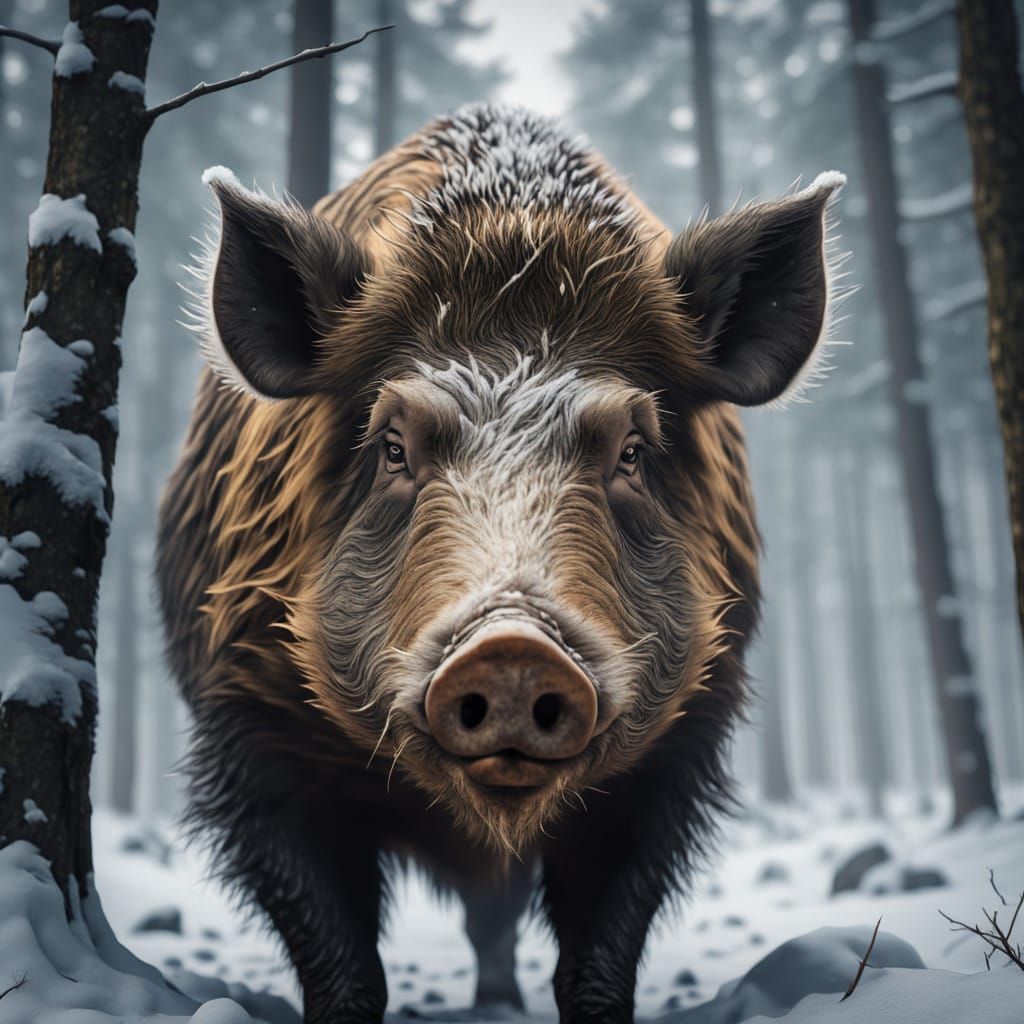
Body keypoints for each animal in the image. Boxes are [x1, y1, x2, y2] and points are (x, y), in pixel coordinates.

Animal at [157, 103, 844, 1023]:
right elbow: (340, 957)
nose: (513, 647)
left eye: (632, 449)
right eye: (394, 445)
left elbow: (599, 953)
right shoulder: (246, 726)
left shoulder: (679, 750)